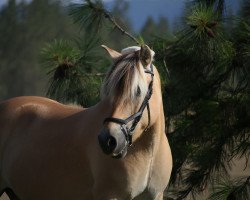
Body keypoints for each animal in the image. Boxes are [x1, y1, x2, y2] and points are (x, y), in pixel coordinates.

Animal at [0, 44, 172, 199]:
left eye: (137, 91)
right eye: (109, 91)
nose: (107, 140)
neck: (148, 151)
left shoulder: (156, 195)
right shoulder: (110, 195)